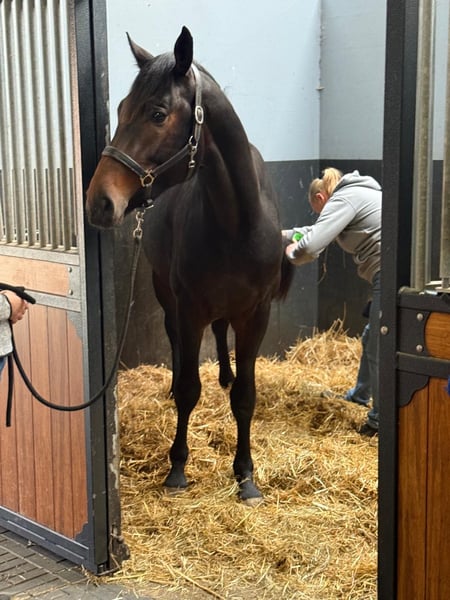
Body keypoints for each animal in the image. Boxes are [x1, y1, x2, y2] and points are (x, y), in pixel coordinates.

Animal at [86, 26, 294, 504]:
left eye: (158, 113)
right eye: (120, 109)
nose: (99, 202)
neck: (237, 222)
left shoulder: (256, 314)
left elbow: (245, 397)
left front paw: (245, 475)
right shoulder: (189, 308)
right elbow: (187, 390)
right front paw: (177, 467)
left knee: (221, 337)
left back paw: (225, 374)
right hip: (167, 295)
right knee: (178, 346)